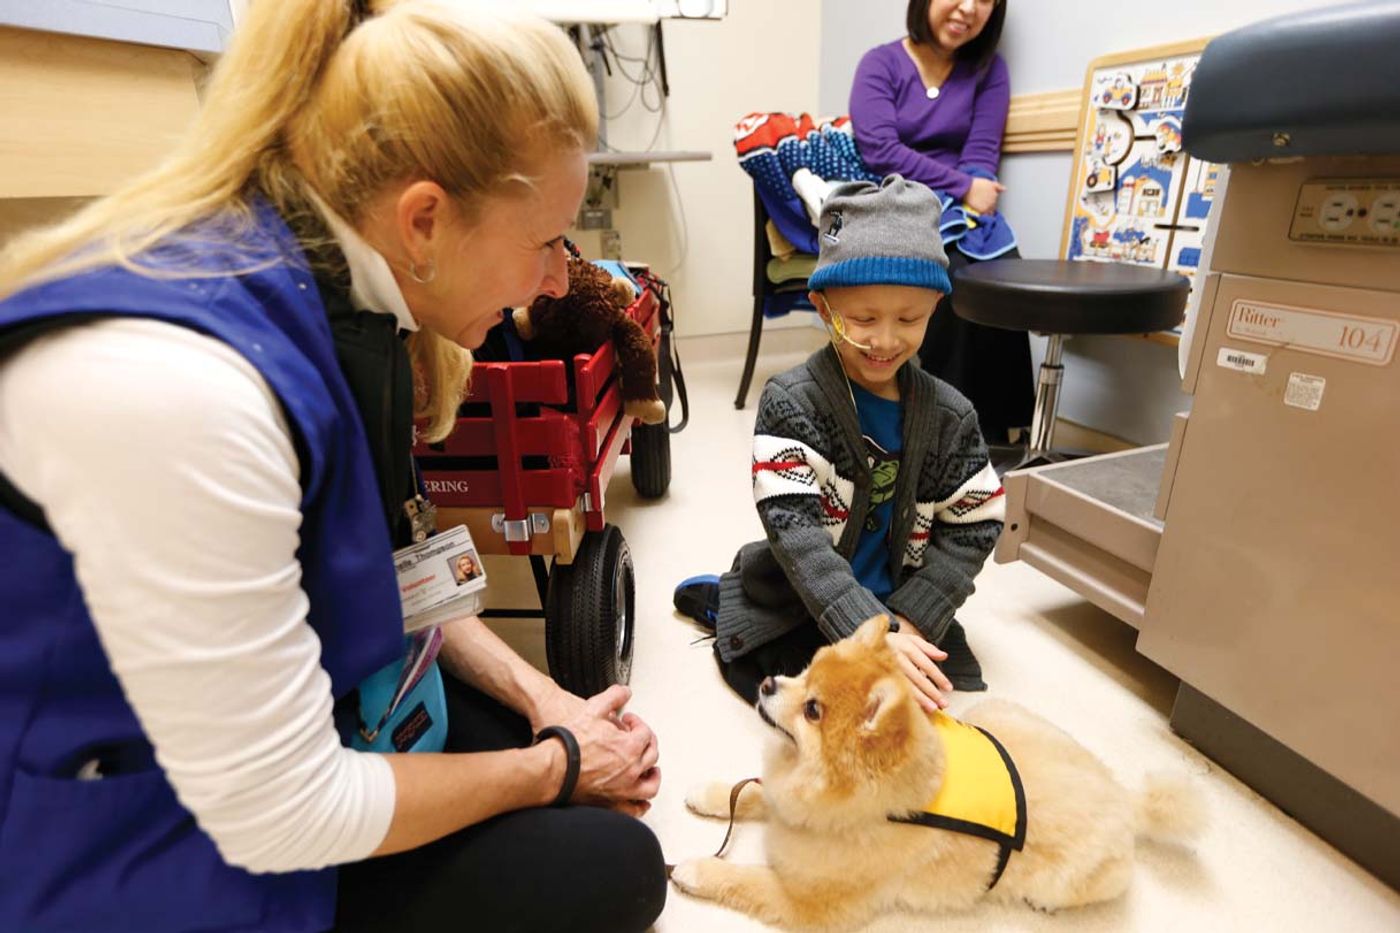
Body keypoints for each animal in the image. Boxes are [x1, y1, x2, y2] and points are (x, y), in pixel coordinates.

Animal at [669, 613, 1204, 924]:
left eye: (813, 710)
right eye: (803, 673)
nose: (766, 683)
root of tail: (1126, 798)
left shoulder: (811, 904)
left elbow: (743, 880)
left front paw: (694, 869)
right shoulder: (787, 800)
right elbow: (753, 791)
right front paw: (710, 792)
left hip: (1077, 877)